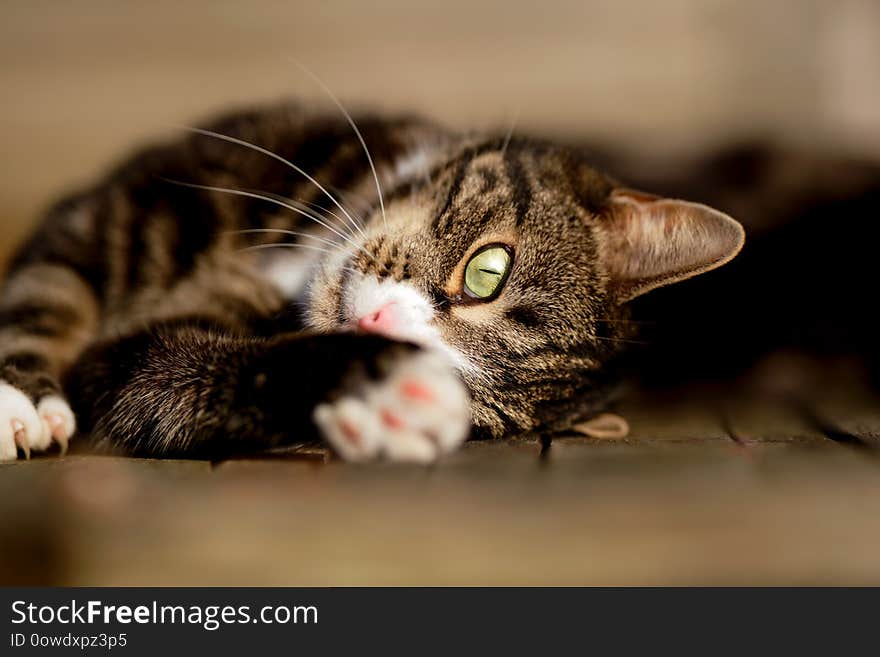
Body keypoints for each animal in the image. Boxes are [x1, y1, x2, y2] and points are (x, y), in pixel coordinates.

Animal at [0, 101, 744, 462]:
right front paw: (19, 399)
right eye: (489, 271)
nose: (377, 329)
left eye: (478, 411)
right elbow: (51, 291)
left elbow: (160, 377)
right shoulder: (125, 208)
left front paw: (382, 396)